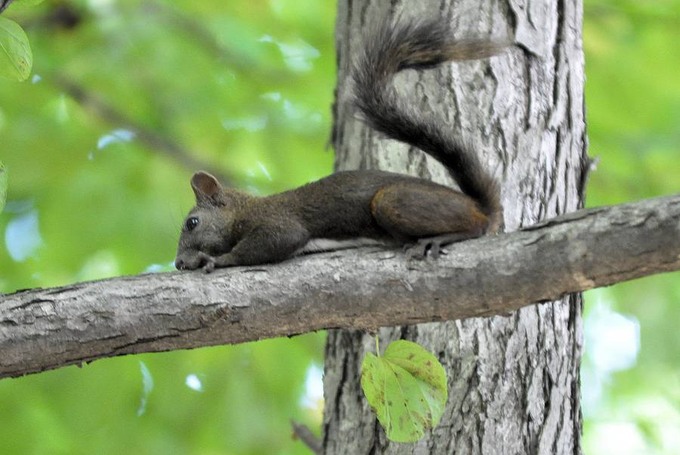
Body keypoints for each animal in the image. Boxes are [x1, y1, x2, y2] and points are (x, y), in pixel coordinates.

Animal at [175, 19, 504, 272]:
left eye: (192, 223)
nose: (178, 263)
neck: (243, 211)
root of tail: (478, 205)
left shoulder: (277, 222)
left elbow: (275, 242)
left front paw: (218, 260)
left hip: (394, 201)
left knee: (476, 227)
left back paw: (442, 237)